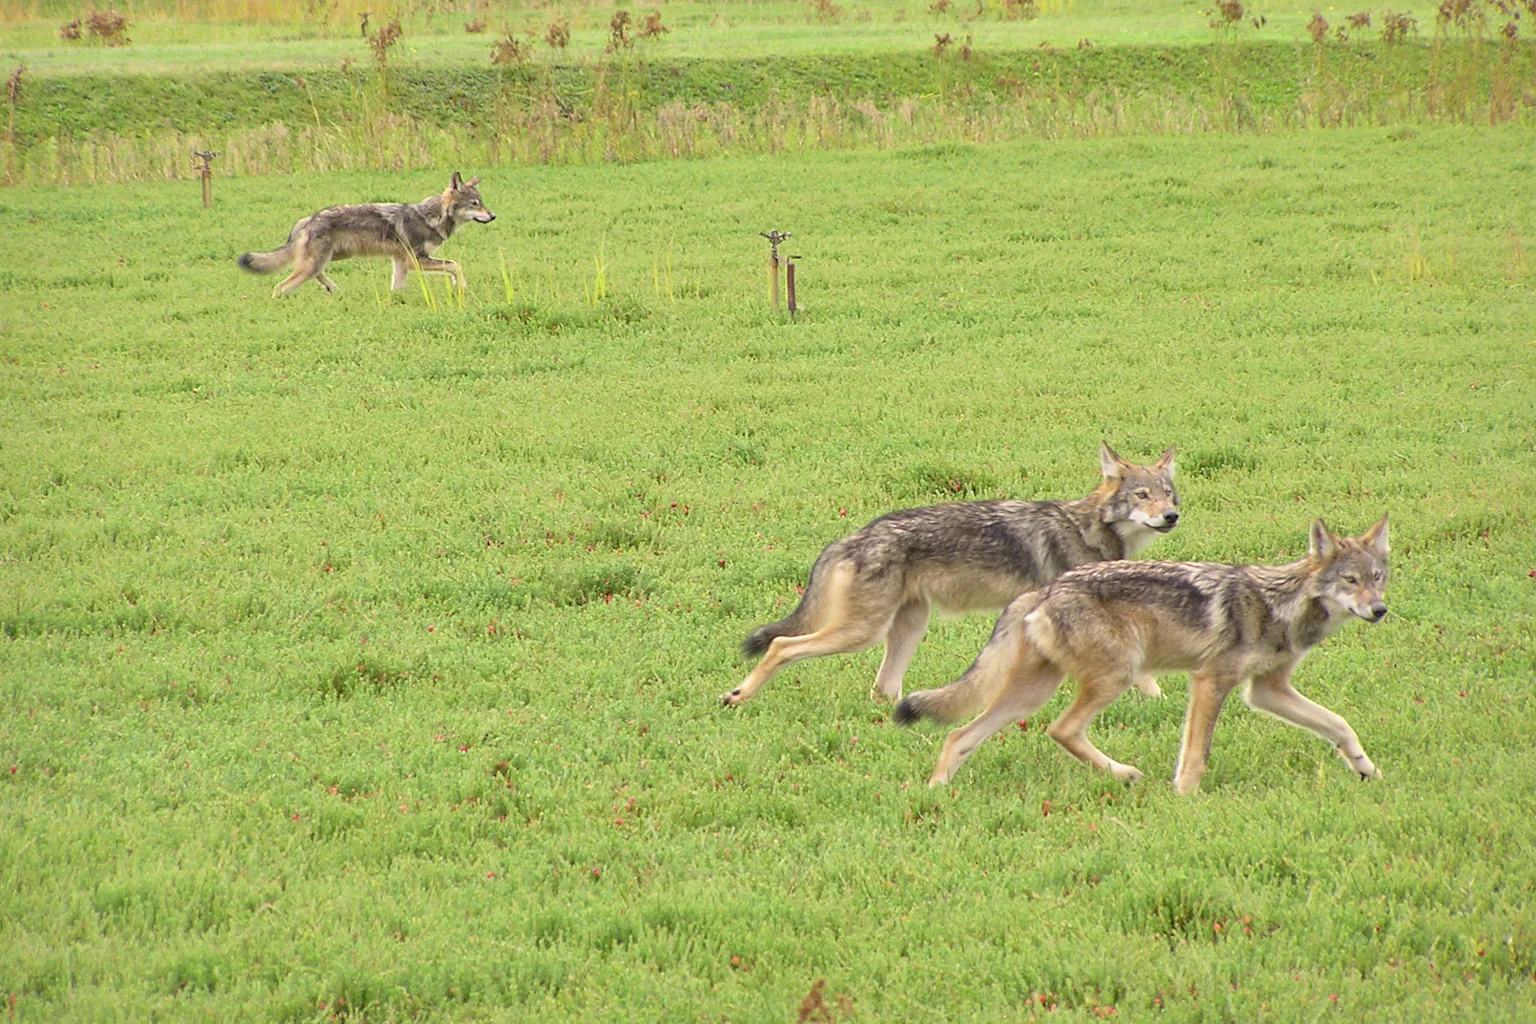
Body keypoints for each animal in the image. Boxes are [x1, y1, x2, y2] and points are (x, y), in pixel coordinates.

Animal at [237, 172, 495, 297]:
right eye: (474, 204)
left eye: (482, 203)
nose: (493, 216)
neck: (431, 216)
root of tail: (307, 220)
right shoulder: (416, 261)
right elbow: (455, 265)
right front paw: (461, 288)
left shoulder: (400, 263)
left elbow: (398, 288)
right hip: (318, 262)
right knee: (281, 287)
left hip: (332, 258)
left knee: (313, 275)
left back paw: (334, 289)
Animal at [721, 443, 1180, 708]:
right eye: (1142, 495)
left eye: (1169, 495)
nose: (1172, 516)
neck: (1088, 528)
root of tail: (852, 536)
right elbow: (1141, 672)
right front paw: (1162, 701)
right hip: (860, 633)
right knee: (781, 645)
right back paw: (737, 696)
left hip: (906, 627)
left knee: (883, 688)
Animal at [896, 515, 1390, 795]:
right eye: (1350, 581)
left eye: (1378, 577)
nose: (1380, 610)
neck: (1278, 605)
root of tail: (1045, 589)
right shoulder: (1211, 681)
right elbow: (1196, 755)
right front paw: (1185, 800)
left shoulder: (1266, 692)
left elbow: (1339, 725)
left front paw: (1368, 770)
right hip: (1113, 678)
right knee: (1060, 729)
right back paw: (1125, 775)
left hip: (1030, 695)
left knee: (957, 736)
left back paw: (933, 793)